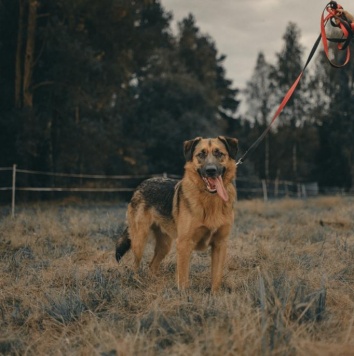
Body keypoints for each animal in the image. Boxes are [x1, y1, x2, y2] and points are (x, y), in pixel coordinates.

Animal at [115, 136, 238, 292]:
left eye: (219, 153)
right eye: (201, 154)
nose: (211, 170)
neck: (210, 202)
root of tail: (141, 184)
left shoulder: (220, 244)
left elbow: (216, 278)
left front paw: (215, 296)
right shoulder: (184, 244)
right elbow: (183, 279)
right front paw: (184, 296)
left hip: (165, 245)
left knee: (152, 266)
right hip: (139, 240)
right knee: (135, 265)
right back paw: (137, 282)